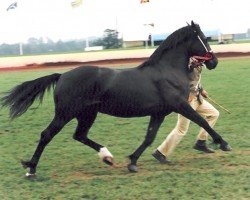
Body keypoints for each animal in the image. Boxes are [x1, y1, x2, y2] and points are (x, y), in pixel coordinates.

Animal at [0, 21, 230, 176]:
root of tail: (62, 75)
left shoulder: (159, 113)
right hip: (65, 113)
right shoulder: (180, 106)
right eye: (203, 37)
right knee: (47, 135)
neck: (167, 71)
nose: (214, 62)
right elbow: (201, 121)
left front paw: (132, 162)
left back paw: (107, 157)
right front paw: (223, 143)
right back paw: (31, 169)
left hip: (87, 114)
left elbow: (149, 137)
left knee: (79, 135)